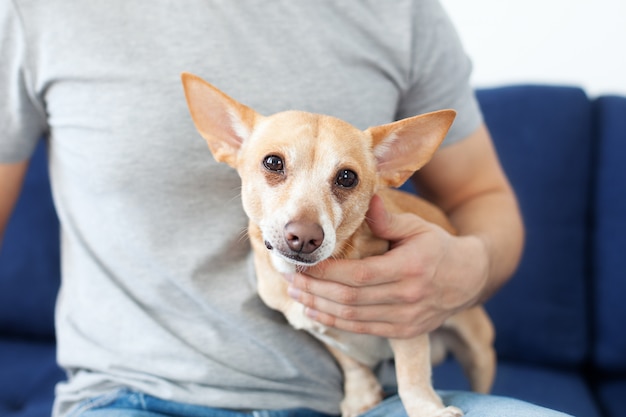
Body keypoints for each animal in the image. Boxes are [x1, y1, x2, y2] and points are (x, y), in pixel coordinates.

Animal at [183, 73, 494, 416]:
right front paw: (361, 394)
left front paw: (426, 409)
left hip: (477, 349)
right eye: (273, 162)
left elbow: (410, 376)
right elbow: (351, 363)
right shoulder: (322, 330)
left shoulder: (408, 327)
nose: (304, 237)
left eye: (347, 177)